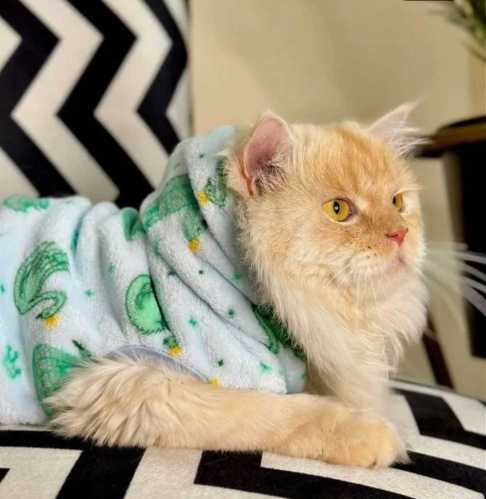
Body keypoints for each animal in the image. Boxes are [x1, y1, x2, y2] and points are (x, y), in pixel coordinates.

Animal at [5, 104, 428, 468]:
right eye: (338, 210)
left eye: (397, 203)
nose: (401, 235)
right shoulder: (131, 384)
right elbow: (273, 411)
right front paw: (371, 432)